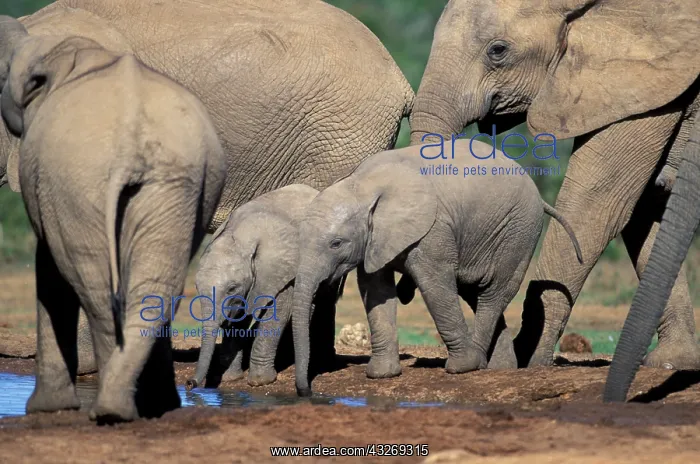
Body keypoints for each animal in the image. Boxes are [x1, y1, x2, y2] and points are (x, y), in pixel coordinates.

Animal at [0, 34, 228, 422]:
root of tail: (130, 141)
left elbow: (49, 271)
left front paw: (47, 410)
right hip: (173, 183)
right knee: (156, 285)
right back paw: (147, 406)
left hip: (78, 182)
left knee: (94, 284)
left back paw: (109, 410)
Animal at [186, 184, 344, 390]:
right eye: (197, 288)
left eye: (232, 288)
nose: (189, 383)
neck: (240, 235)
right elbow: (237, 316)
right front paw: (231, 378)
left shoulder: (283, 268)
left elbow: (278, 310)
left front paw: (260, 381)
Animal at [291, 139, 583, 396]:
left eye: (336, 243)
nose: (307, 391)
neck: (362, 186)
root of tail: (538, 194)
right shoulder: (375, 240)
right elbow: (375, 292)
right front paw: (382, 375)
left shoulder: (434, 229)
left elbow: (434, 285)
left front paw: (460, 368)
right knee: (475, 293)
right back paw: (501, 369)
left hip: (518, 231)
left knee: (492, 293)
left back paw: (475, 364)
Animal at [409, 0, 700, 369]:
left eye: (498, 51)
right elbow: (645, 209)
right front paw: (673, 361)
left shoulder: (644, 85)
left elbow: (599, 203)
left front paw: (526, 359)